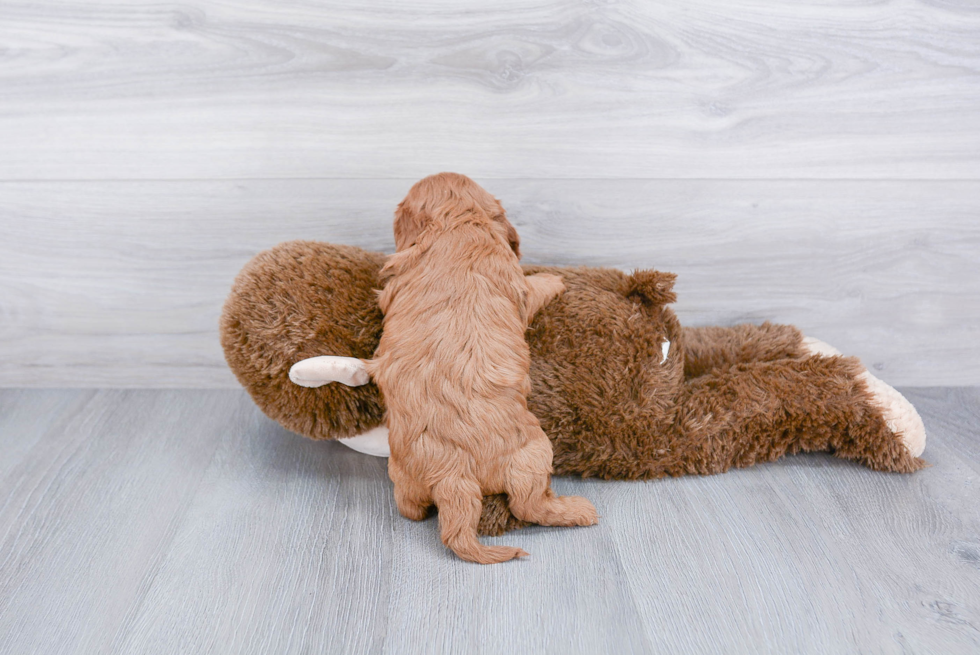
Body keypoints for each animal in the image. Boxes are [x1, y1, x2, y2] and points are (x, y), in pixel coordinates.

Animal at [366, 174, 596, 564]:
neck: (455, 224)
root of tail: (451, 472)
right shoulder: (516, 281)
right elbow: (534, 286)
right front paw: (554, 279)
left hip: (401, 471)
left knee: (409, 507)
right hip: (534, 452)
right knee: (528, 504)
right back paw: (578, 510)